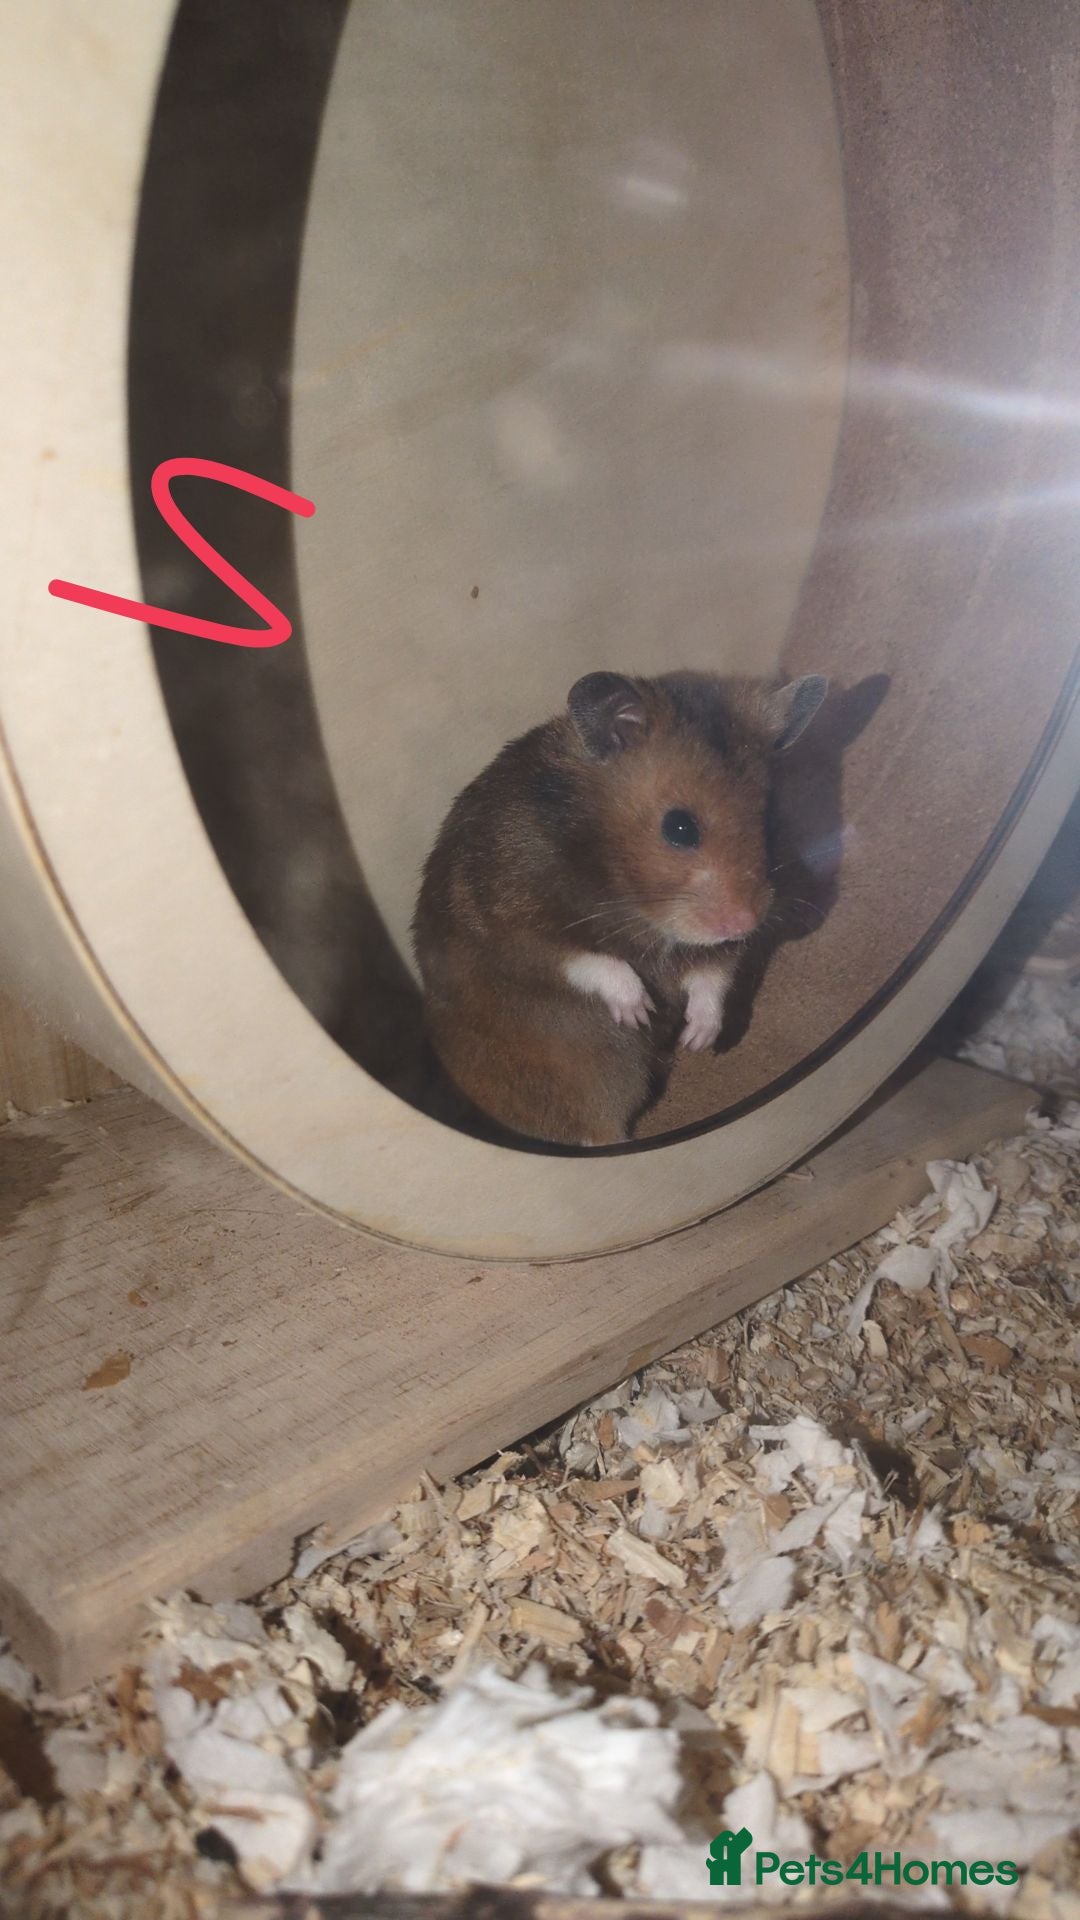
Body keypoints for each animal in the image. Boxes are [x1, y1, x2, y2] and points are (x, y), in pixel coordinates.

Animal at [412, 669, 828, 1147]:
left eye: (768, 821)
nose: (743, 924)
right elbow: (584, 958)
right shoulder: (509, 921)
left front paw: (698, 1038)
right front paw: (639, 1010)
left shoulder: (713, 950)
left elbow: (712, 976)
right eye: (679, 827)